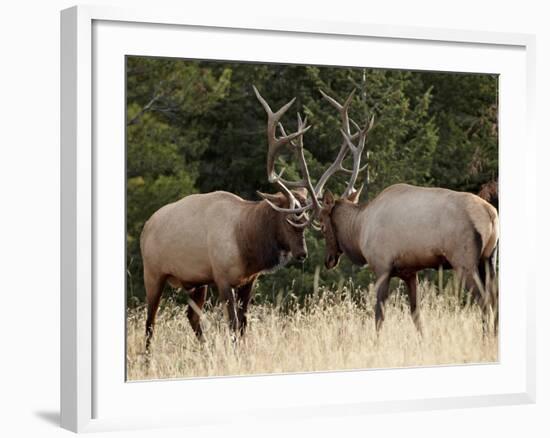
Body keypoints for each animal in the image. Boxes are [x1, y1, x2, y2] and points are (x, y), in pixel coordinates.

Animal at [140, 89, 316, 350]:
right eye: (288, 219)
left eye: (306, 223)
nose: (302, 253)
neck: (247, 241)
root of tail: (145, 228)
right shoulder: (223, 278)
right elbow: (232, 325)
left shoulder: (248, 281)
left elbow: (243, 325)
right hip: (153, 273)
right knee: (150, 321)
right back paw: (149, 356)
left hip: (196, 281)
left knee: (190, 316)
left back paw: (204, 349)